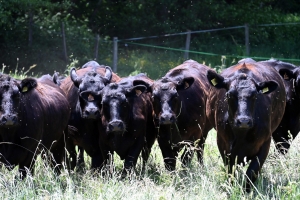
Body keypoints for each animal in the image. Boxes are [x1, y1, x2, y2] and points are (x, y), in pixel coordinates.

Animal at [206, 61, 286, 192]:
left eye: (255, 95)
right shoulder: (223, 143)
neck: (241, 135)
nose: (243, 121)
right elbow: (231, 170)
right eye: (229, 95)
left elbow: (252, 172)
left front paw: (246, 191)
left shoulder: (265, 143)